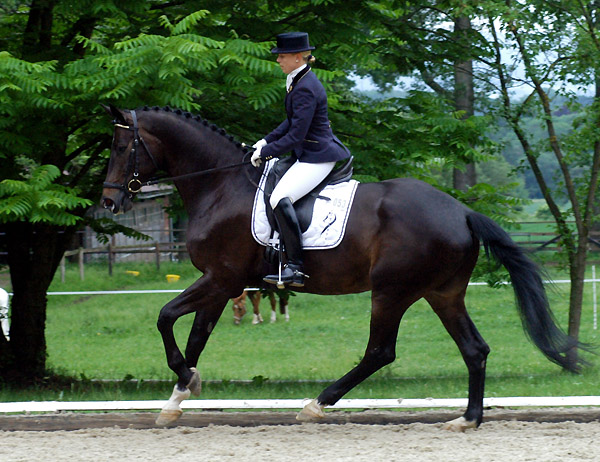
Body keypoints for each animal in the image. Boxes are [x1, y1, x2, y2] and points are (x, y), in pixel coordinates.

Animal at [101, 105, 588, 434]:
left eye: (122, 147)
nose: (109, 202)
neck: (219, 186)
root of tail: (462, 212)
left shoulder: (221, 278)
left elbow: (165, 317)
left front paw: (185, 380)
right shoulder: (223, 284)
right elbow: (196, 336)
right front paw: (177, 399)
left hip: (391, 291)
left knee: (380, 351)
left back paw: (317, 404)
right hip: (442, 292)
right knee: (474, 349)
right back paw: (467, 419)